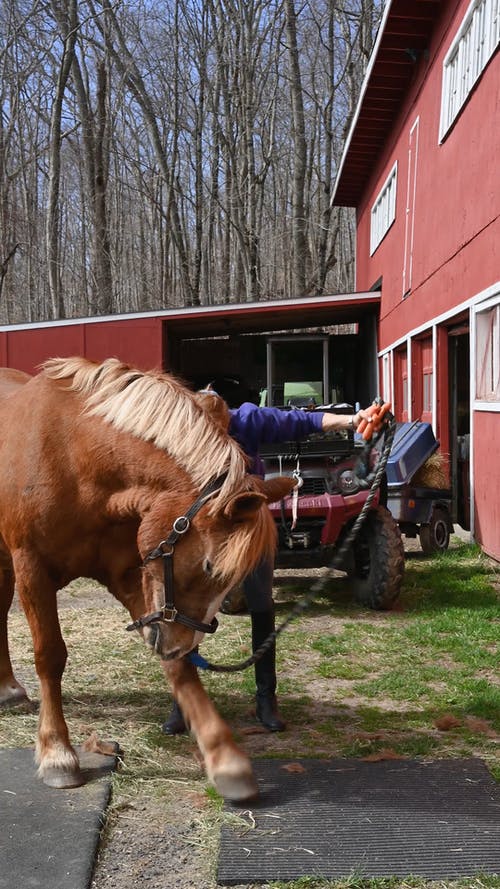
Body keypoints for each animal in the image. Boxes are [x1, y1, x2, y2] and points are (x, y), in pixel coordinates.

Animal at [0, 358, 294, 800]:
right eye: (211, 567)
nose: (182, 642)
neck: (74, 456)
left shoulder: (135, 575)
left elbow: (179, 670)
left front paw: (225, 758)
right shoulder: (32, 567)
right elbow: (49, 655)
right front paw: (57, 753)